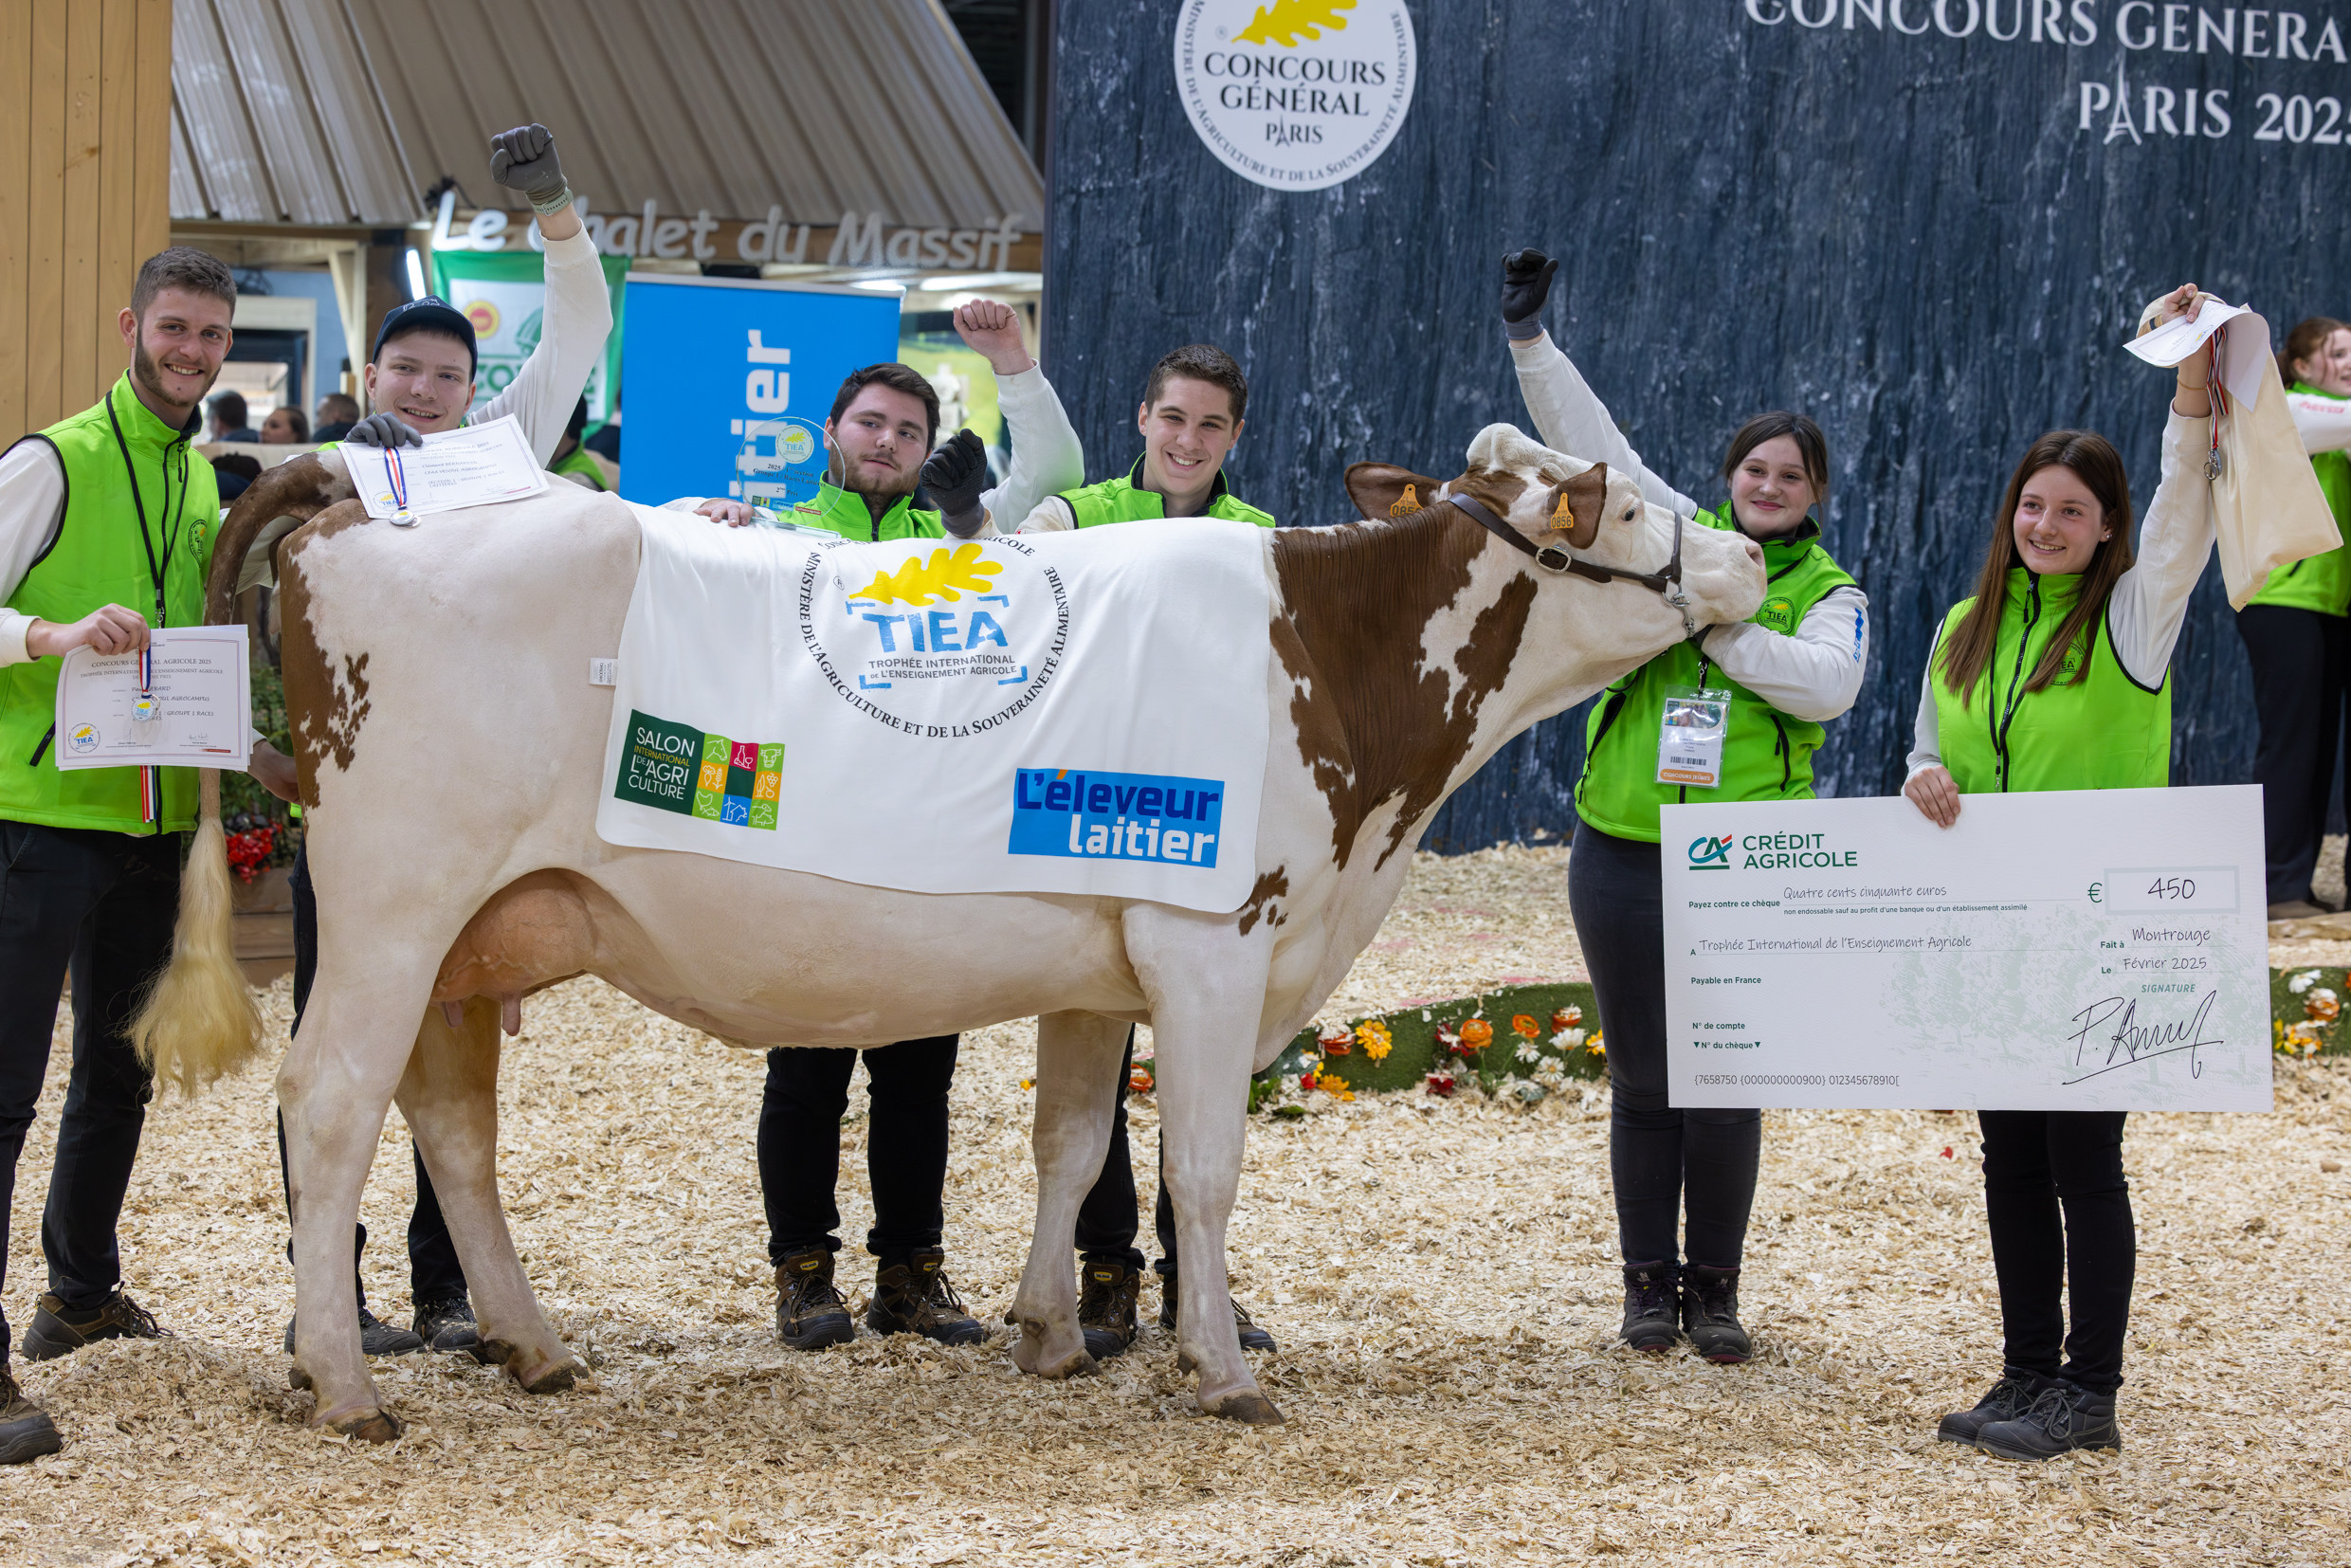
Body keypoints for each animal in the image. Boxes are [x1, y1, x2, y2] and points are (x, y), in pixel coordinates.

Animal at [123, 423, 1767, 1438]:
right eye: (1625, 503)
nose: (1751, 553)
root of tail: (360, 479)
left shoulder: (1109, 950)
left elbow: (1075, 1146)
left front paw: (1051, 1335)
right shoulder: (1218, 943)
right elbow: (1201, 1166)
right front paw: (1218, 1367)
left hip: (472, 934)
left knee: (452, 1126)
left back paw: (533, 1347)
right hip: (396, 903)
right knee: (330, 1104)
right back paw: (342, 1380)